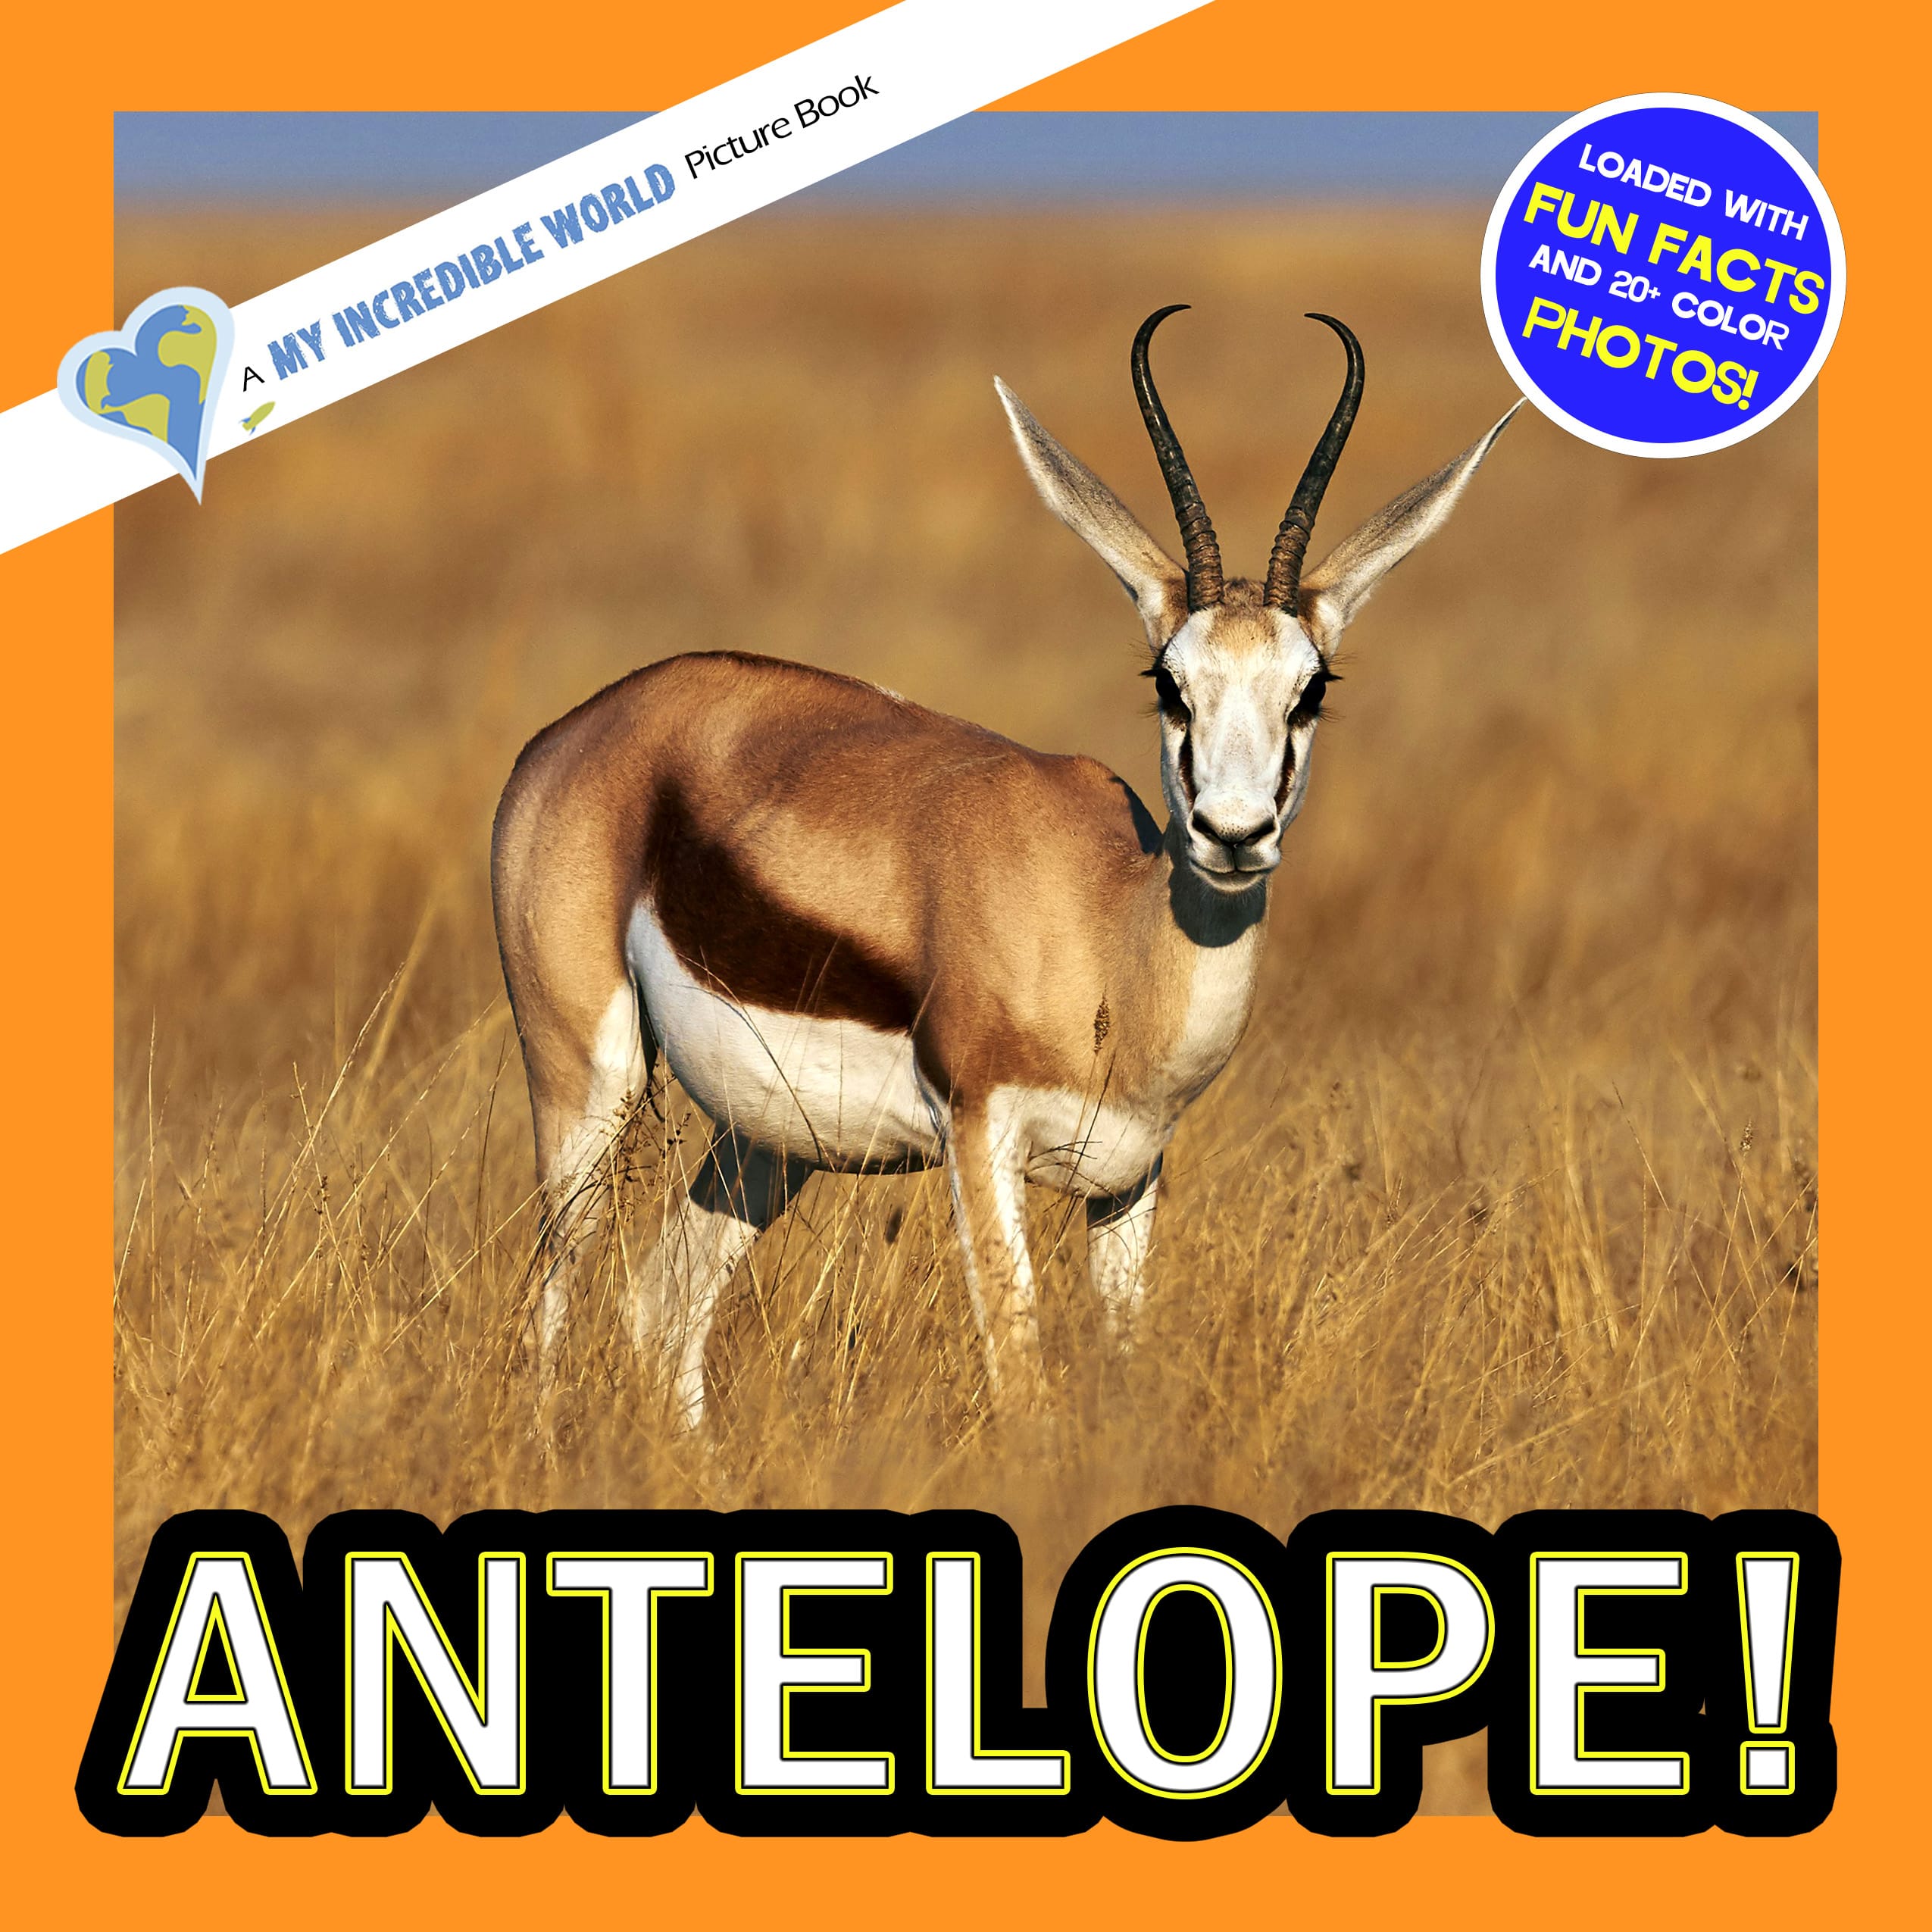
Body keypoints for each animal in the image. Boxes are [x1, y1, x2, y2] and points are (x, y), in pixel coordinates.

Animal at [492, 306, 1518, 1430]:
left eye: (1312, 688)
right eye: (1169, 680)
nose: (1232, 832)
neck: (1115, 936)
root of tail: (577, 728)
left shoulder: (1129, 1179)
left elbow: (1119, 1363)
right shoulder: (981, 1137)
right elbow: (1022, 1378)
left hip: (768, 1142)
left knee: (659, 1304)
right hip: (590, 1084)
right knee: (551, 1306)